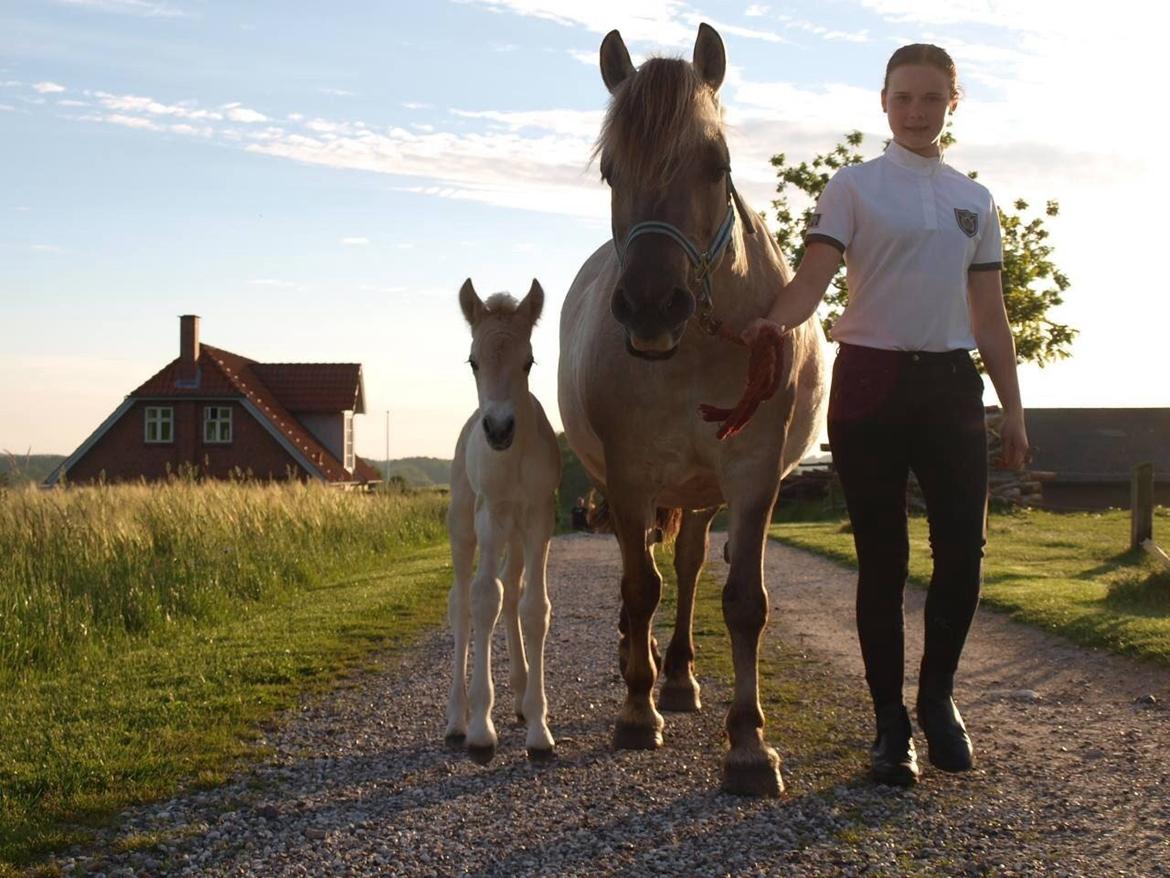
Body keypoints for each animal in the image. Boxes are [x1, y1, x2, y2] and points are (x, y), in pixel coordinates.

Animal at [559, 22, 828, 796]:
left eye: (717, 163)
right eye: (611, 171)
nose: (652, 306)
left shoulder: (751, 477)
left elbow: (741, 601)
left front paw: (749, 745)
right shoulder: (628, 479)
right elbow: (637, 587)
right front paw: (635, 710)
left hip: (703, 496)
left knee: (685, 565)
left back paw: (676, 677)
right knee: (646, 573)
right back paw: (641, 669)